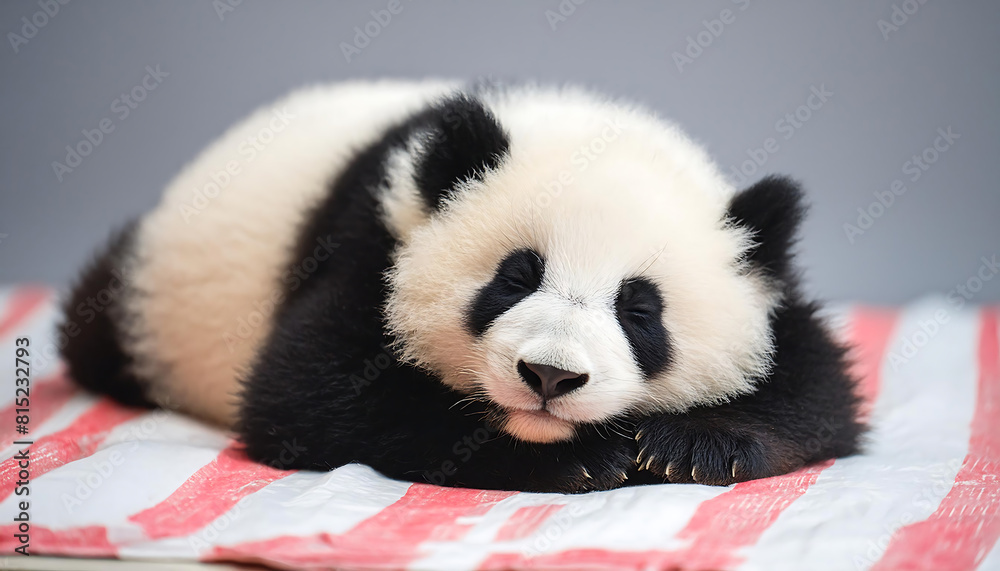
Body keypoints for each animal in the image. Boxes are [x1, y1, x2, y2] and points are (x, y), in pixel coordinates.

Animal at [60, 79, 864, 493]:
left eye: (640, 311)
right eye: (515, 277)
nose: (550, 376)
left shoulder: (770, 286)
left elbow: (818, 386)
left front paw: (693, 446)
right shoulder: (376, 236)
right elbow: (307, 392)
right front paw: (570, 460)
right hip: (146, 297)